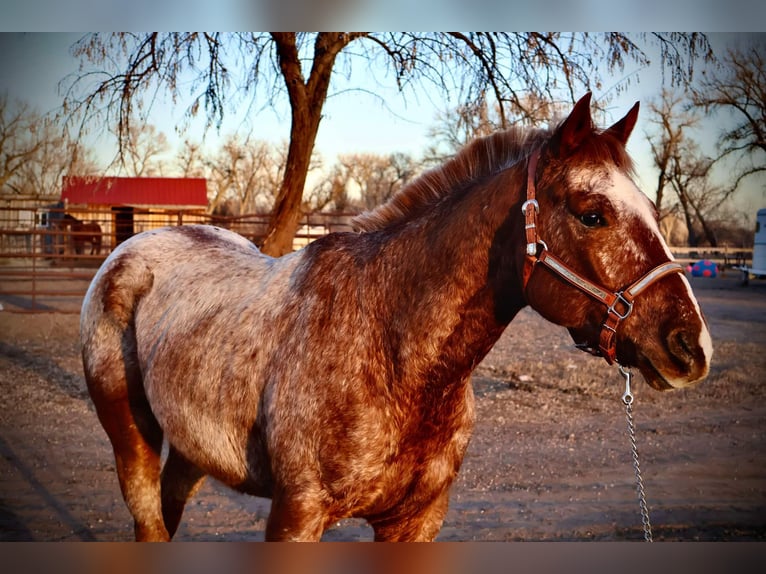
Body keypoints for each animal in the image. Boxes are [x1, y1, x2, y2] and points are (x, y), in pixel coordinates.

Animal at [79, 92, 712, 544]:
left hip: (192, 451)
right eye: (591, 214)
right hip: (130, 438)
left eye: (652, 209)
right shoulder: (295, 516)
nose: (691, 346)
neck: (391, 349)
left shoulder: (417, 522)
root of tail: (131, 248)